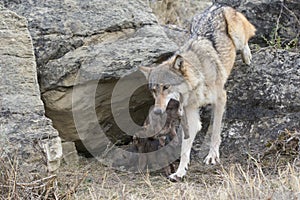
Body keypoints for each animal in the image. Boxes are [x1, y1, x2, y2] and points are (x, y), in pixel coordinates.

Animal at [139, 3, 255, 180]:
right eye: (154, 91)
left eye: (166, 87)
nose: (158, 111)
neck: (198, 80)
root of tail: (217, 5)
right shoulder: (190, 114)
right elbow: (184, 149)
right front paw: (180, 171)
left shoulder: (221, 99)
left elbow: (215, 131)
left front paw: (212, 156)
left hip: (237, 34)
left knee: (246, 40)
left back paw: (247, 56)